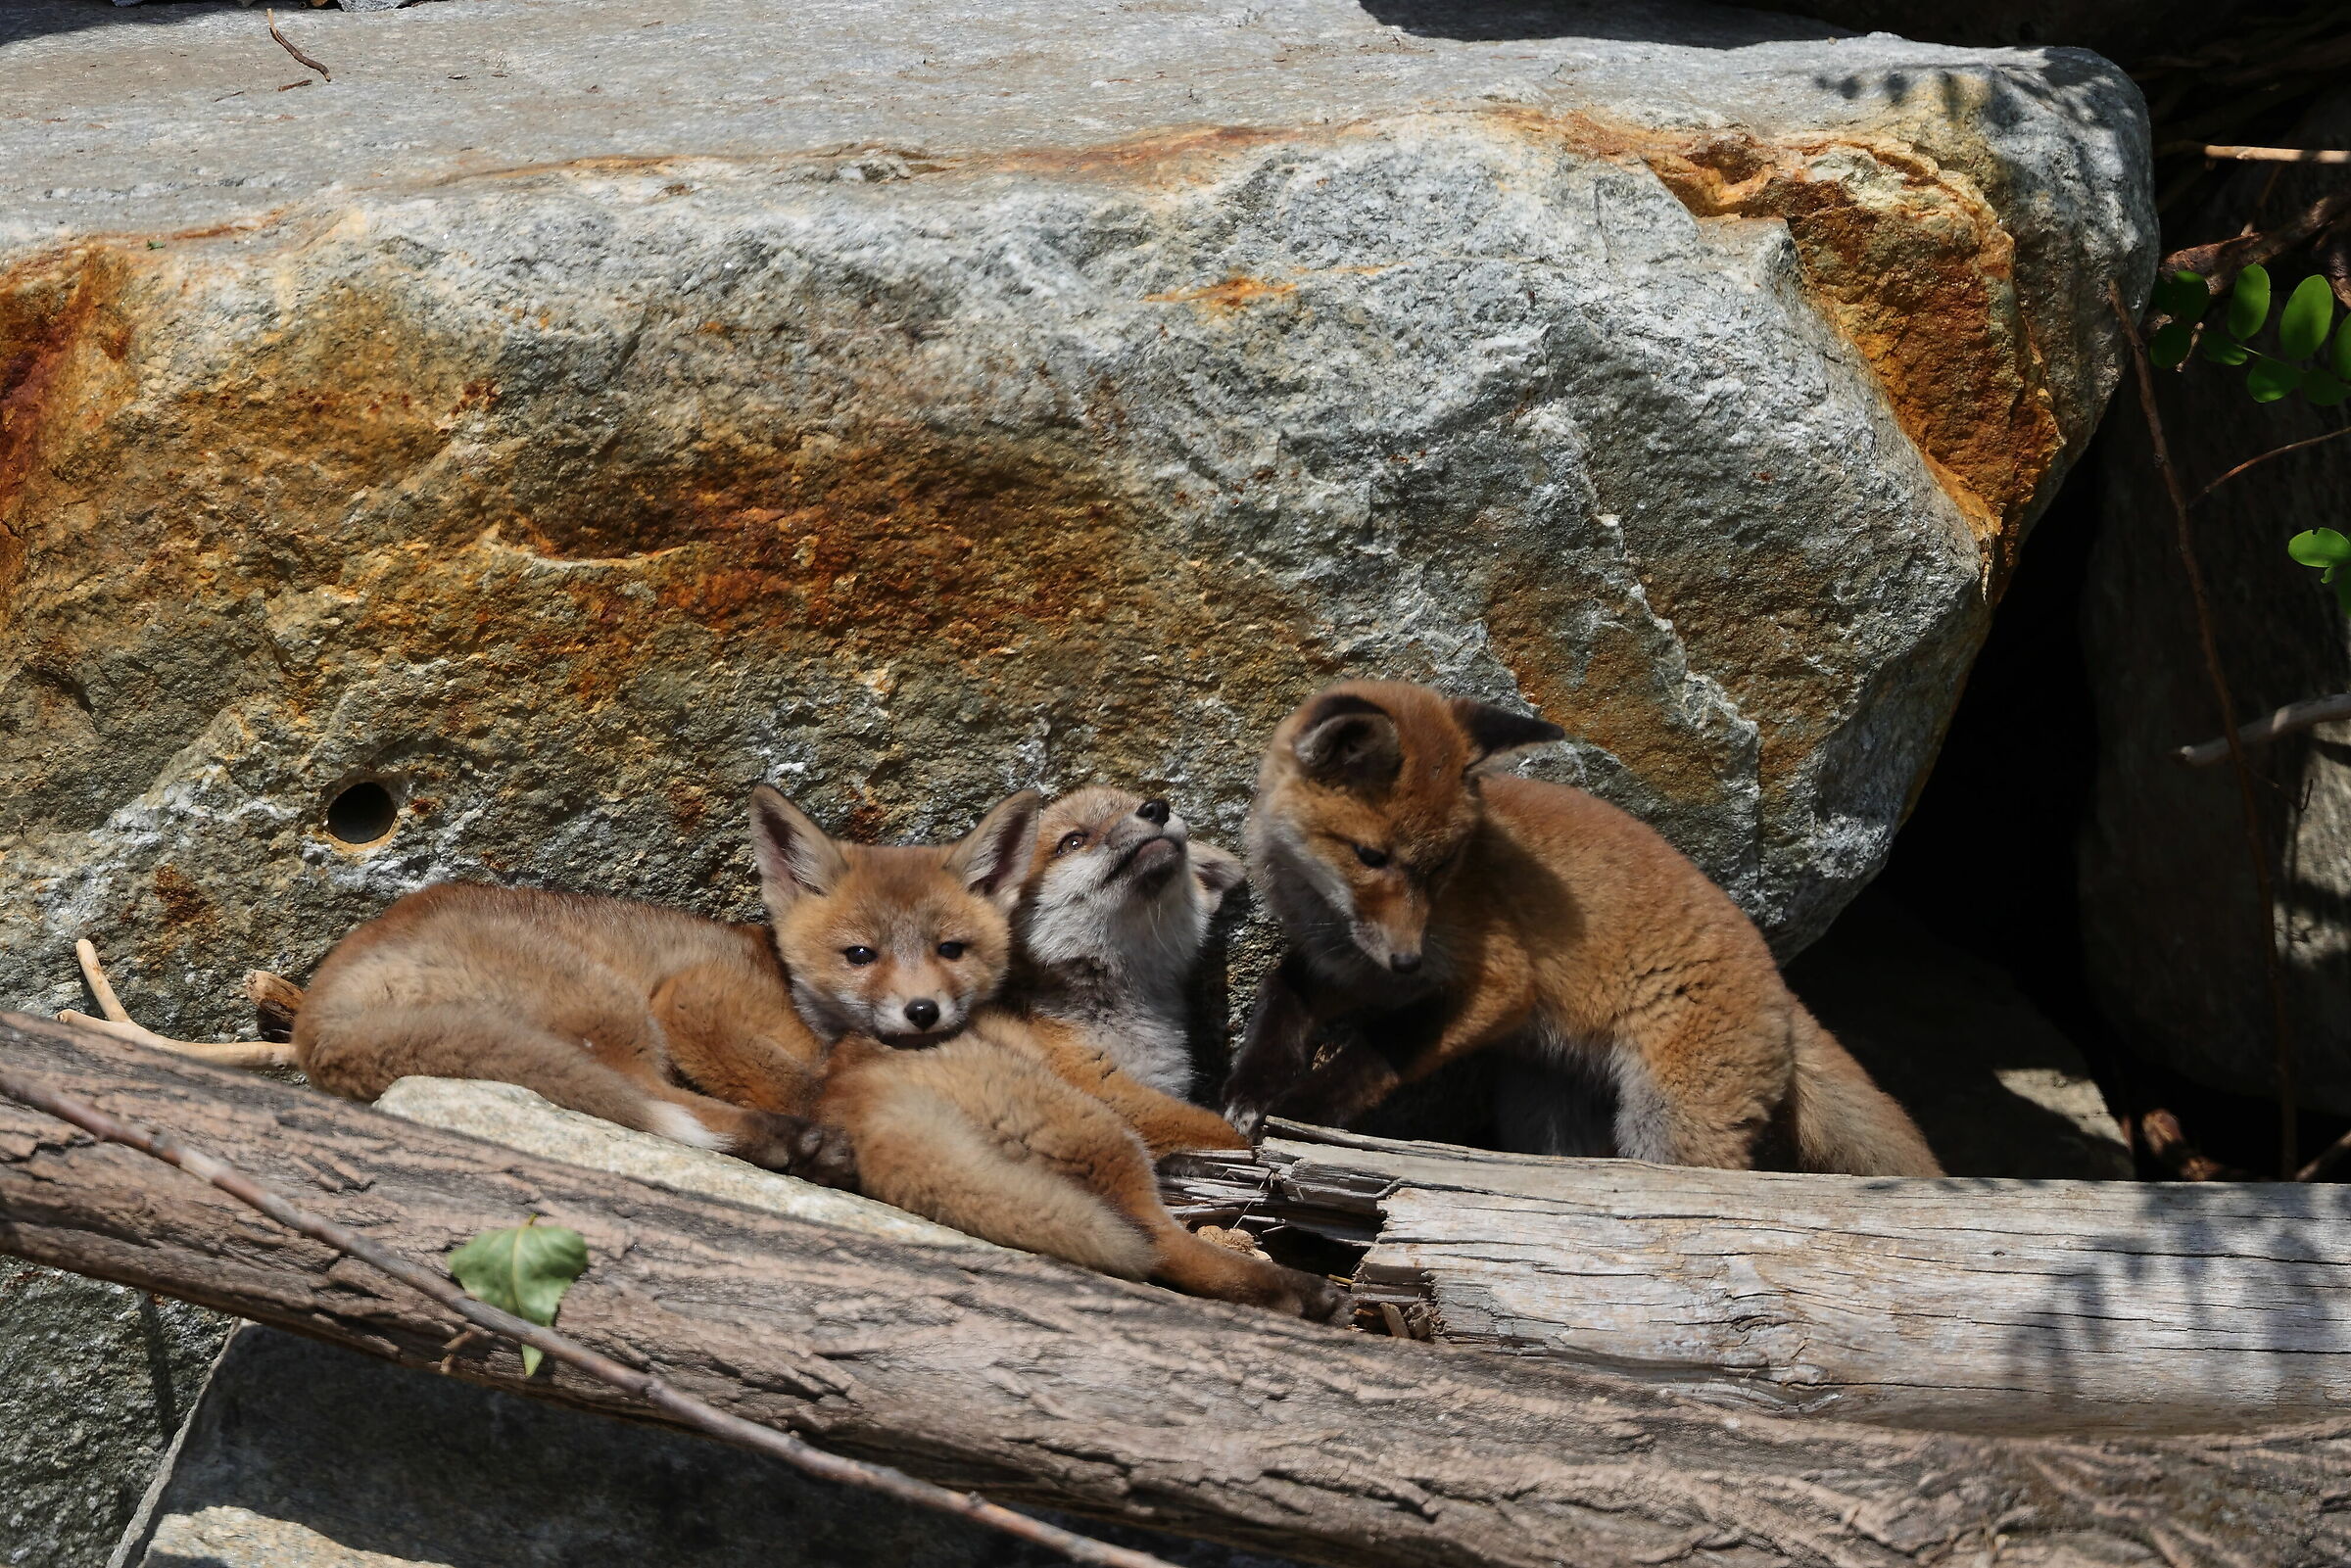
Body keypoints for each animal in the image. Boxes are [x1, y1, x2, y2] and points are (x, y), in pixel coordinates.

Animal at [290, 883, 857, 1186]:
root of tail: (314, 1021)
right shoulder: (695, 1001)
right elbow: (802, 1086)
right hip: (616, 1009)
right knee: (659, 1101)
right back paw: (790, 1142)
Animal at [751, 784, 1345, 1319]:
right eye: (1073, 841)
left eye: (1137, 804)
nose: (1156, 808)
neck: (1120, 1021)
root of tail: (850, 1097)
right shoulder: (1118, 1094)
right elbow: (1224, 1133)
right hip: (1107, 1138)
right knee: (1159, 1246)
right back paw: (1304, 1291)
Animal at [1221, 680, 1943, 1178]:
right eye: (1372, 857)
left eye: (1445, 863)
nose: (1406, 959)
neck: (1326, 915)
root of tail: (1783, 986)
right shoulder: (1344, 965)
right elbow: (1277, 1006)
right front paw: (1247, 1093)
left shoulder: (1495, 982)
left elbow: (1377, 1054)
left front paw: (1300, 1112)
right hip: (1543, 1112)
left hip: (1669, 1126)